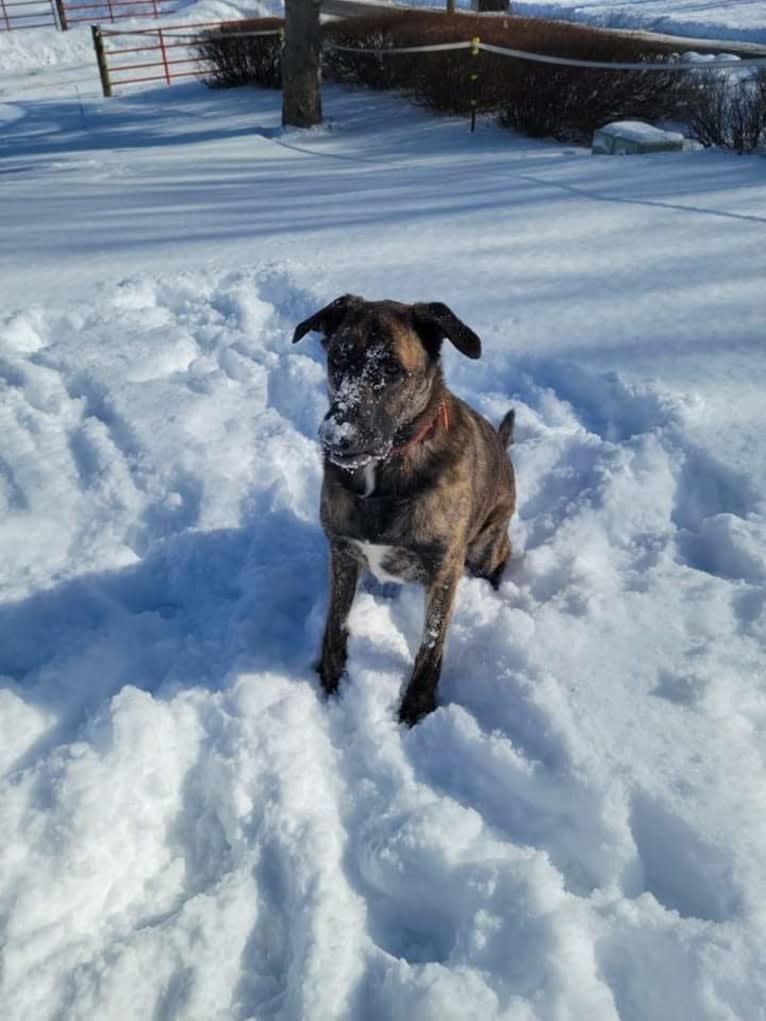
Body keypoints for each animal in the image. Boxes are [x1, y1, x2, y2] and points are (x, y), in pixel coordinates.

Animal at [292, 296, 516, 726]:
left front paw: (416, 707)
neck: (384, 473)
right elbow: (336, 623)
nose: (336, 437)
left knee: (502, 555)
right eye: (337, 359)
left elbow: (431, 645)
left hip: (485, 547)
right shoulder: (342, 553)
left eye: (392, 369)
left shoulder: (445, 568)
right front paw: (330, 679)